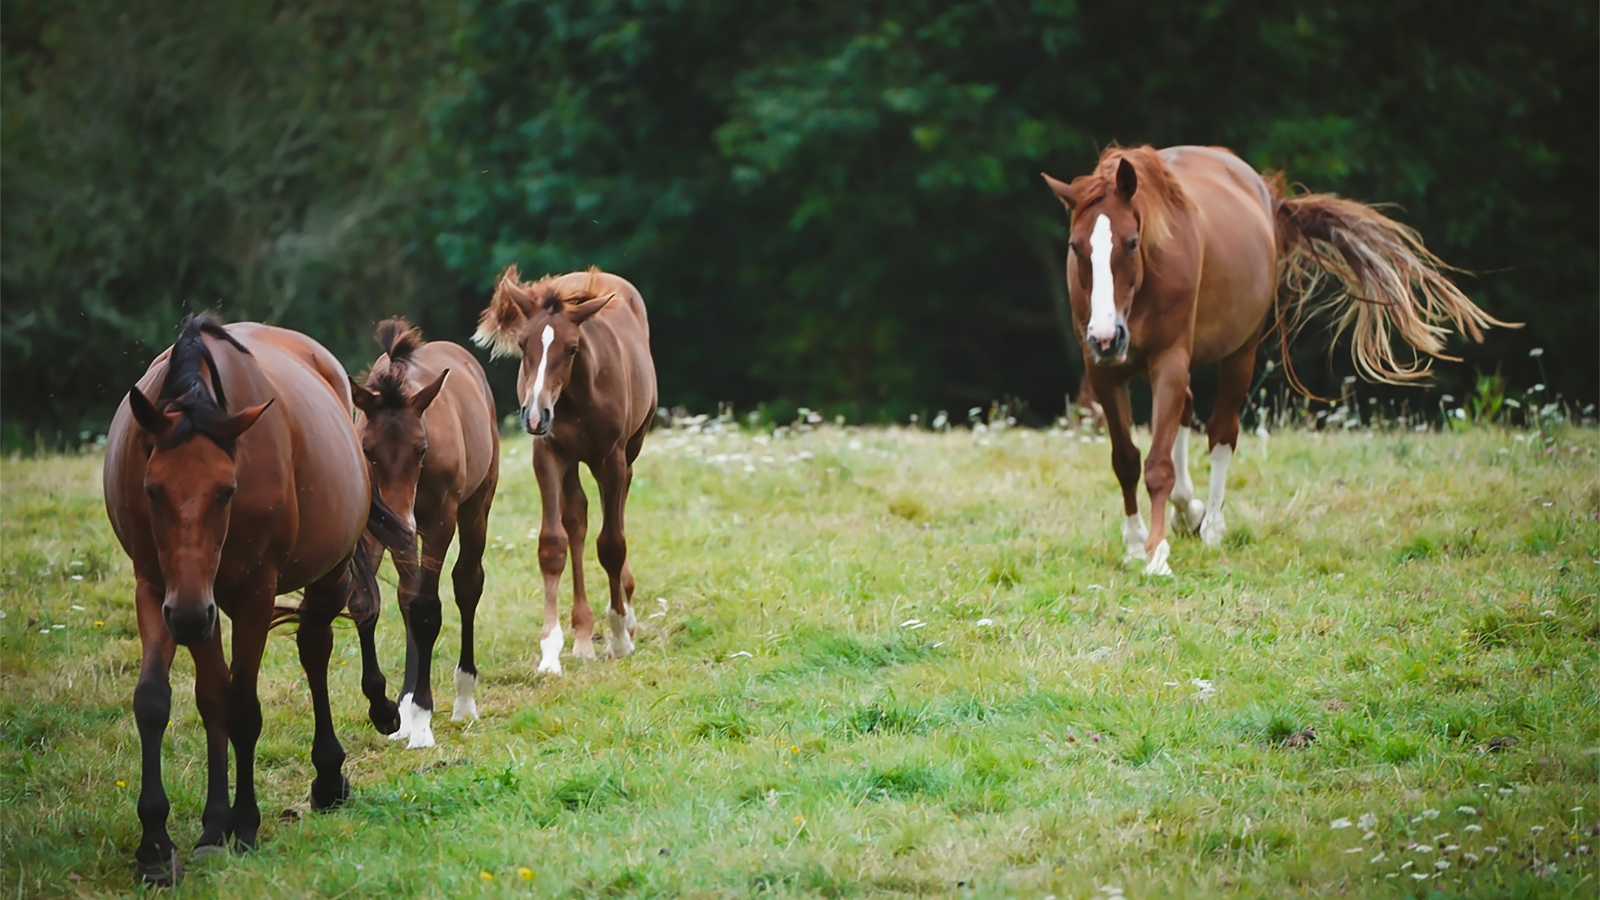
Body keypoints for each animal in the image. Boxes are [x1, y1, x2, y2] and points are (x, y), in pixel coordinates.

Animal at [102, 315, 409, 883]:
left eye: (227, 490)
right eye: (152, 489)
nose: (187, 615)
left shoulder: (252, 594)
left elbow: (243, 708)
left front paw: (243, 824)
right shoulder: (159, 589)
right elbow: (165, 701)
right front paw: (161, 842)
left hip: (327, 569)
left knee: (315, 645)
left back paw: (330, 776)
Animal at [350, 318, 499, 746]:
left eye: (421, 449)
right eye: (368, 451)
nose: (404, 522)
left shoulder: (437, 521)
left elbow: (427, 610)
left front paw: (421, 717)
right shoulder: (379, 526)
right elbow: (371, 601)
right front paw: (387, 710)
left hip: (476, 505)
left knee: (467, 583)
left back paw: (463, 699)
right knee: (407, 595)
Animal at [473, 265, 656, 672]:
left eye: (571, 348)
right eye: (523, 343)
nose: (535, 414)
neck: (577, 398)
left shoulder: (611, 459)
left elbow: (612, 544)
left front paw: (619, 636)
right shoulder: (548, 454)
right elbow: (553, 544)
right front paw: (550, 650)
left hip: (631, 449)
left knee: (617, 508)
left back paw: (625, 613)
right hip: (571, 462)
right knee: (577, 520)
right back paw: (583, 637)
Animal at [1036, 143, 1510, 570]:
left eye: (1132, 242)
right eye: (1077, 247)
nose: (1106, 335)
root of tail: (1262, 189)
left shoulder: (1168, 360)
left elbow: (1156, 465)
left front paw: (1156, 554)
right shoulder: (1103, 371)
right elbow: (1126, 461)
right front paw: (1137, 544)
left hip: (1239, 353)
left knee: (1222, 433)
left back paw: (1212, 525)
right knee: (1186, 414)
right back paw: (1188, 511)